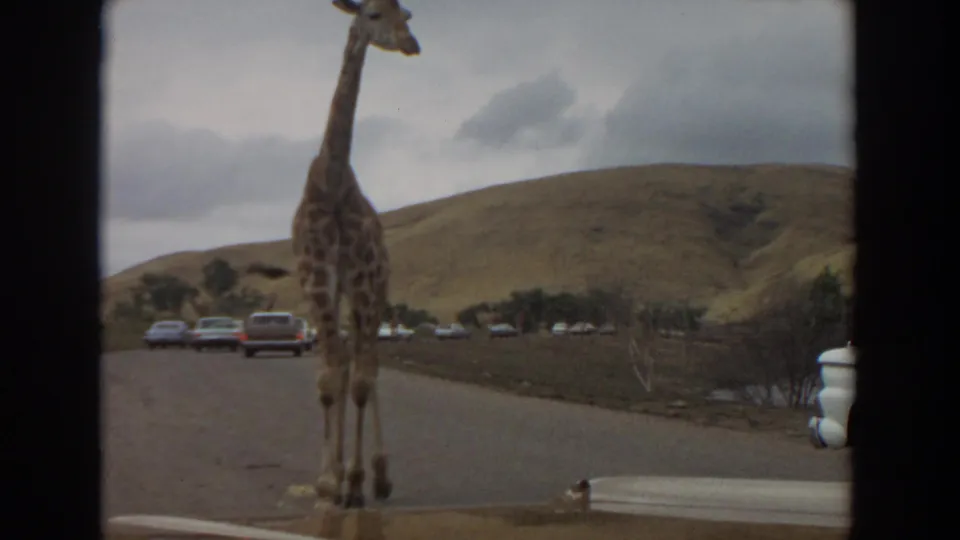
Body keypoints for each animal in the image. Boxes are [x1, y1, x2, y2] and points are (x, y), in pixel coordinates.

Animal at [291, 0, 420, 509]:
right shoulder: (317, 279)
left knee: (369, 366)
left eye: (406, 13)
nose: (410, 43)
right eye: (372, 13)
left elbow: (361, 380)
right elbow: (331, 378)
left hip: (375, 287)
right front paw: (329, 480)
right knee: (350, 362)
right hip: (346, 292)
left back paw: (377, 476)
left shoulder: (363, 281)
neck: (331, 180)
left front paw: (356, 480)